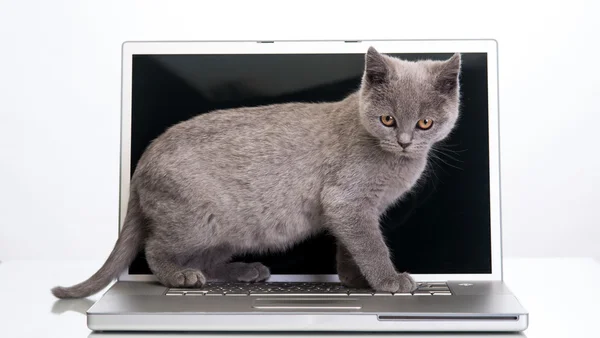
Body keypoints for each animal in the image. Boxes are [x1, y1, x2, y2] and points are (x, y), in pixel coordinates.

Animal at [52, 48, 464, 298]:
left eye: (425, 123)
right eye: (387, 119)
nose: (406, 141)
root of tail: (142, 162)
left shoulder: (357, 209)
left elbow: (351, 246)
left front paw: (354, 280)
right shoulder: (348, 201)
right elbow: (371, 245)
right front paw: (389, 281)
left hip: (228, 229)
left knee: (207, 259)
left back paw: (245, 272)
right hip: (198, 219)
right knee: (157, 248)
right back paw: (180, 276)